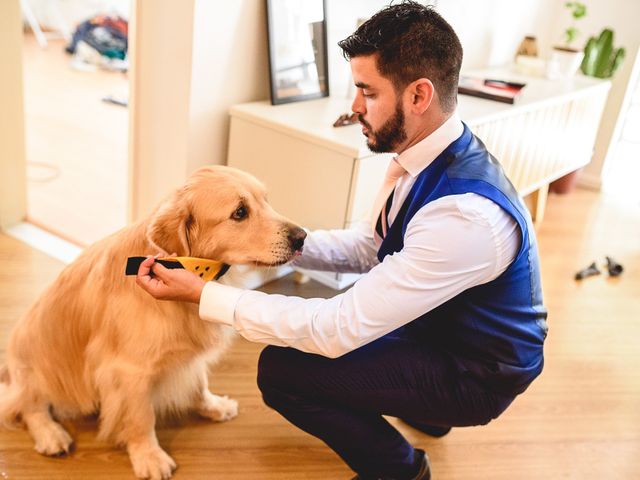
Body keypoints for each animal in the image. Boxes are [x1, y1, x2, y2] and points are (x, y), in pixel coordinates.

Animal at [0, 164, 306, 476]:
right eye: (240, 212)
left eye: (266, 200)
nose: (302, 237)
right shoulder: (129, 370)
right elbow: (141, 417)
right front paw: (148, 456)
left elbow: (199, 382)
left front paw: (213, 406)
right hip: (40, 368)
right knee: (26, 406)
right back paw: (51, 434)